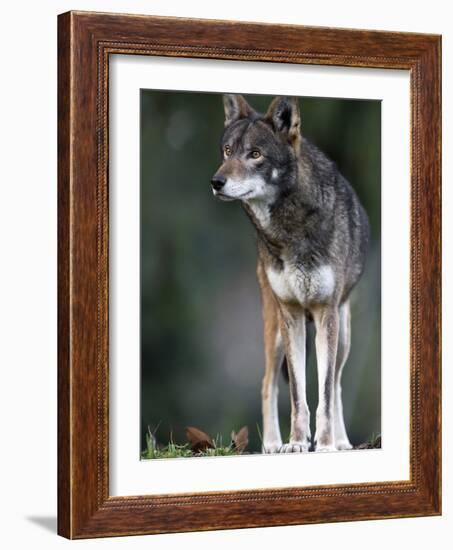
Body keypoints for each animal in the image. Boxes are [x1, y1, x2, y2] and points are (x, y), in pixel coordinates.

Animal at [210, 95, 370, 454]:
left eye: (255, 154)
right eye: (227, 151)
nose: (216, 182)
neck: (289, 229)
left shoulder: (325, 313)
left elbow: (325, 391)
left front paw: (325, 444)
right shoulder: (292, 314)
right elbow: (298, 393)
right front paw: (296, 443)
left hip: (343, 333)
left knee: (337, 384)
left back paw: (342, 442)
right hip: (276, 331)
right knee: (267, 383)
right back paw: (272, 443)